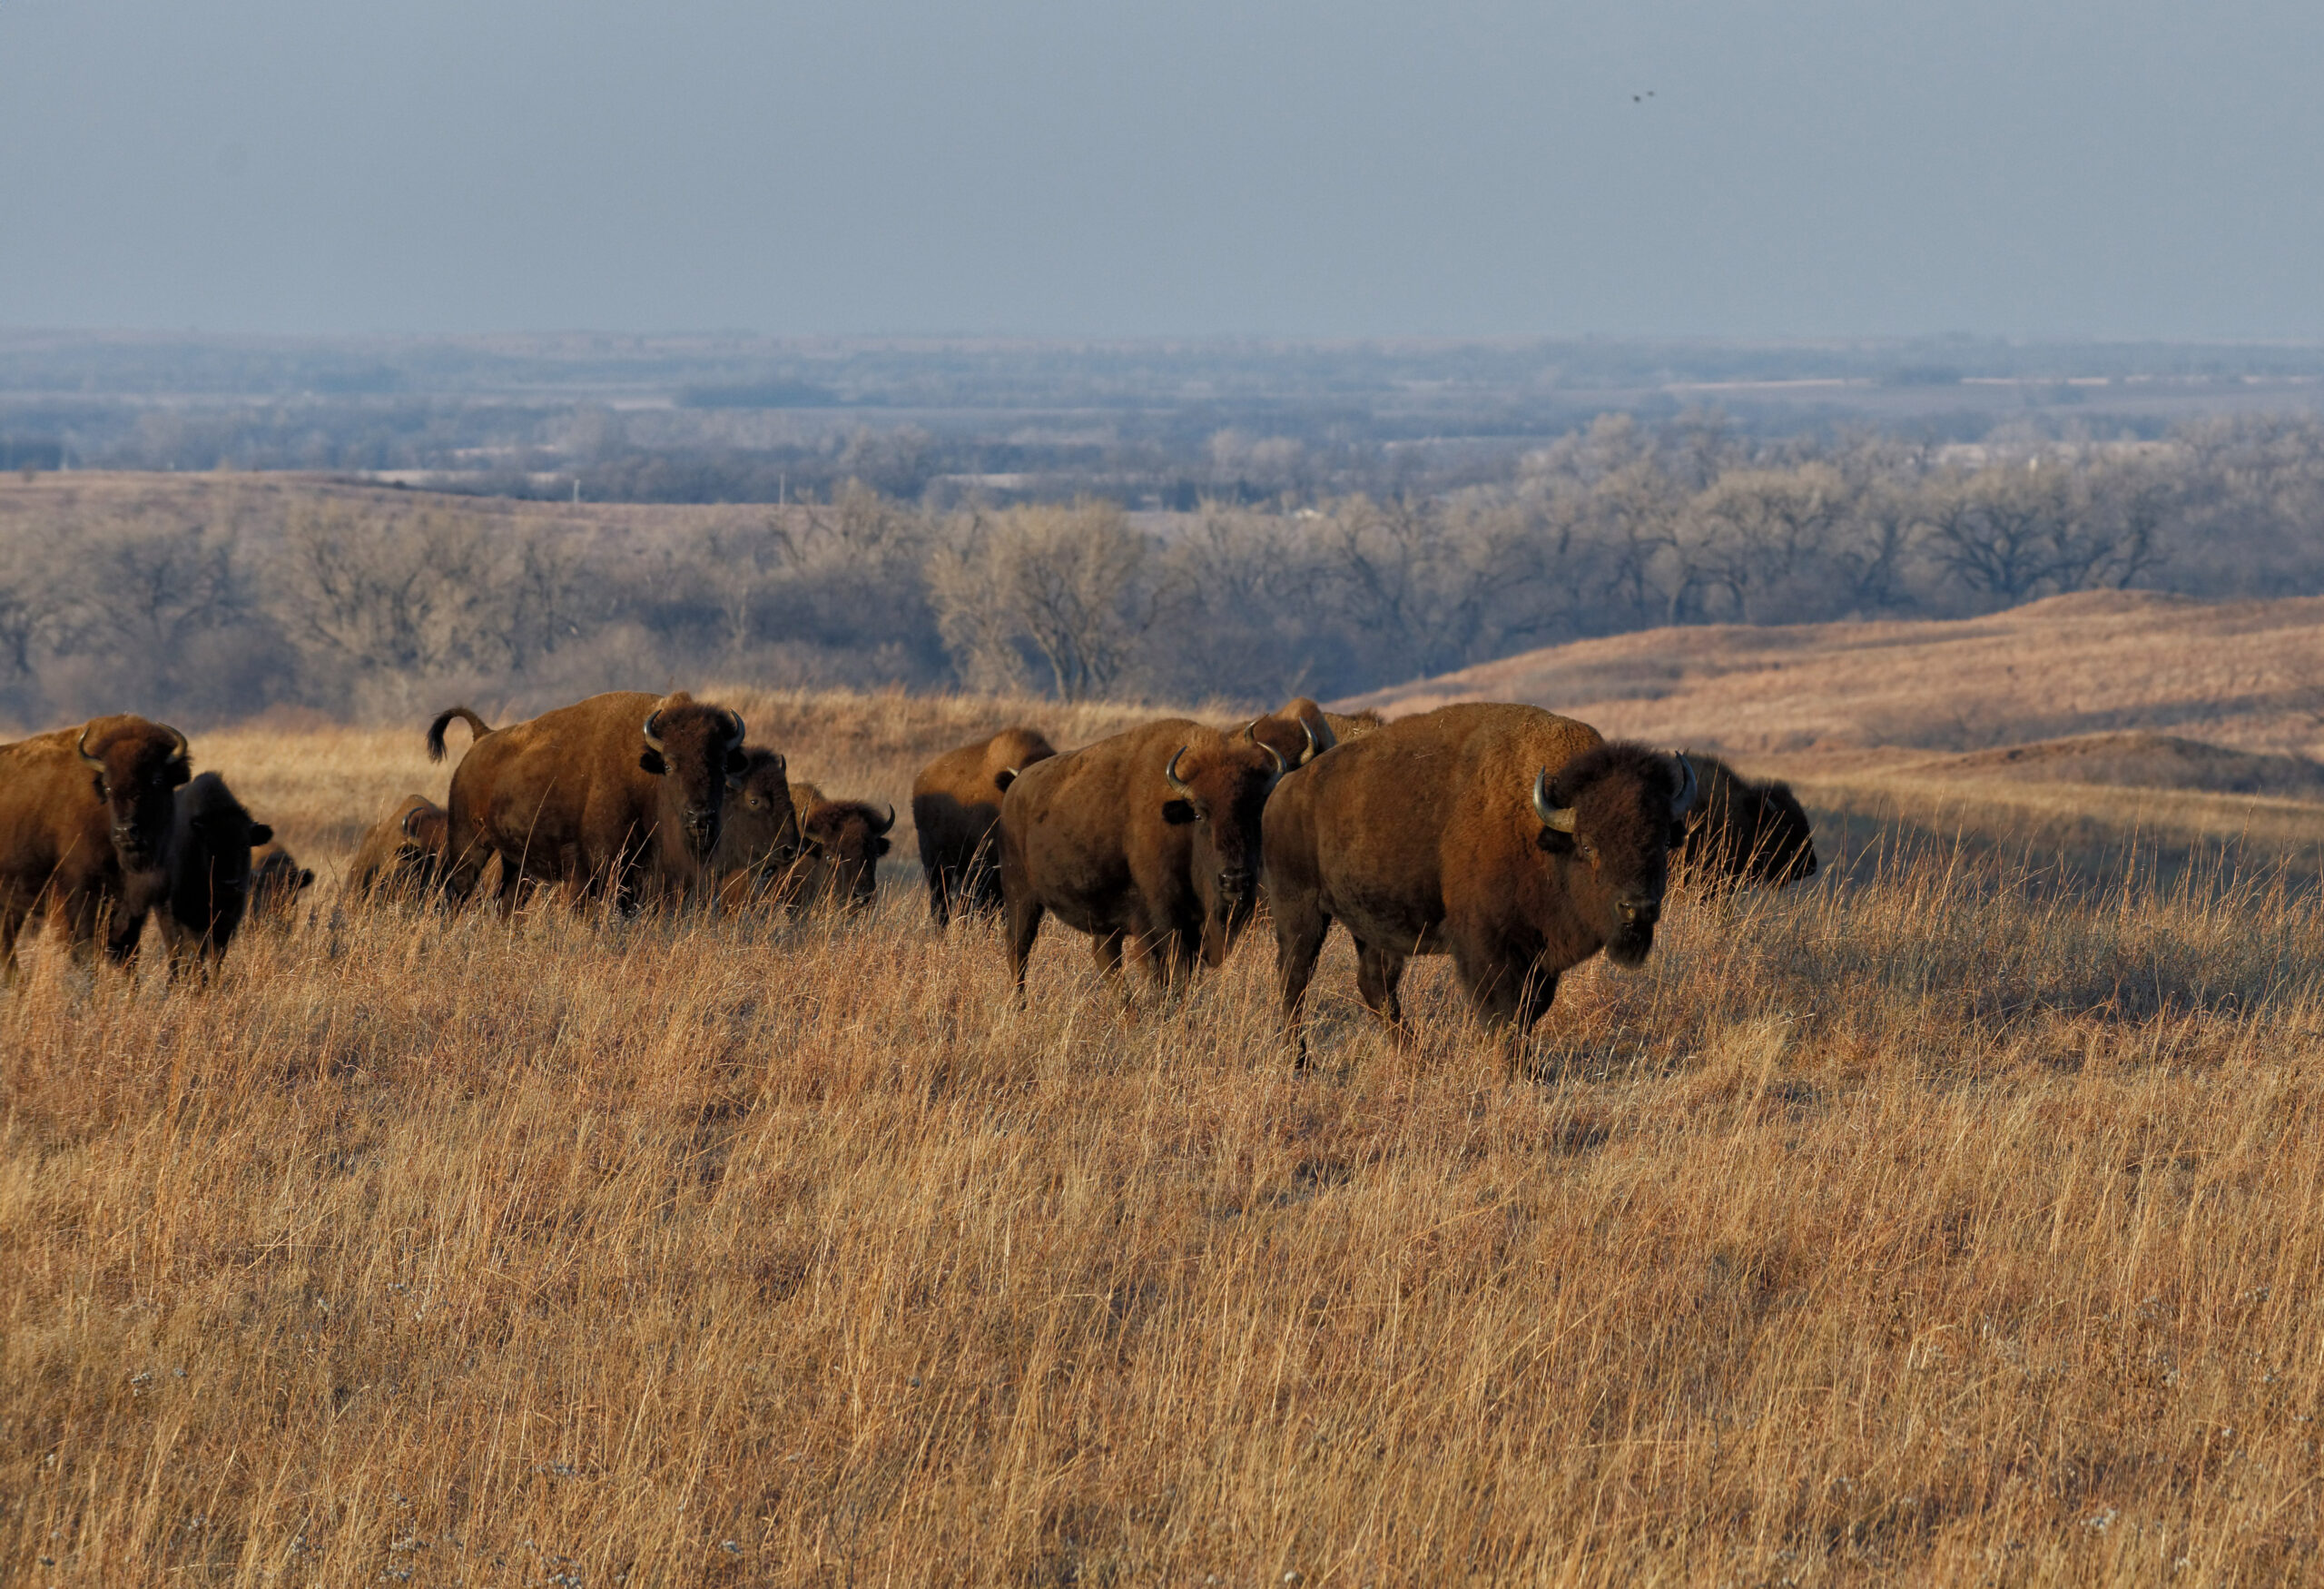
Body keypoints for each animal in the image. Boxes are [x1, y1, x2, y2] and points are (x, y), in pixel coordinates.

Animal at [0, 714, 190, 979]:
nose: (125, 831)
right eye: (108, 786)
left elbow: (131, 954)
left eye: (157, 780)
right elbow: (87, 950)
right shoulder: (81, 898)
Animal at [154, 772, 274, 975]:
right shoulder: (192, 921)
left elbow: (217, 959)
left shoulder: (226, 924)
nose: (230, 883)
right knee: (175, 951)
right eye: (210, 846)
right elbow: (194, 954)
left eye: (245, 846)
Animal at [430, 691, 746, 915]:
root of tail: (482, 737)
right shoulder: (594, 871)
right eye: (669, 765)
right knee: (457, 892)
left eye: (722, 765)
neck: (645, 775)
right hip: (469, 843)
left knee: (508, 903)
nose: (700, 817)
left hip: (517, 863)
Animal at [999, 719, 1287, 994]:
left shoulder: (1193, 929)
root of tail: (1016, 787)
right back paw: (1018, 1004)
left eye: (1255, 812)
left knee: (1105, 958)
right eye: (1199, 814)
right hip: (1021, 895)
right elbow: (1169, 976)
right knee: (1018, 947)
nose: (1234, 879)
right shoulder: (1162, 924)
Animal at [1263, 702, 1696, 1064]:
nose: (1637, 909)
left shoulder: (1540, 956)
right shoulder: (1489, 945)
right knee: (1294, 978)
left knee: (1375, 985)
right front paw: (1518, 1071)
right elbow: (1504, 1012)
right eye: (1588, 844)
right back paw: (1301, 1063)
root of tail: (1286, 786)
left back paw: (1420, 1060)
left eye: (1661, 841)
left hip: (1370, 925)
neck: (1543, 834)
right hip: (1299, 909)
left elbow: (1531, 1009)